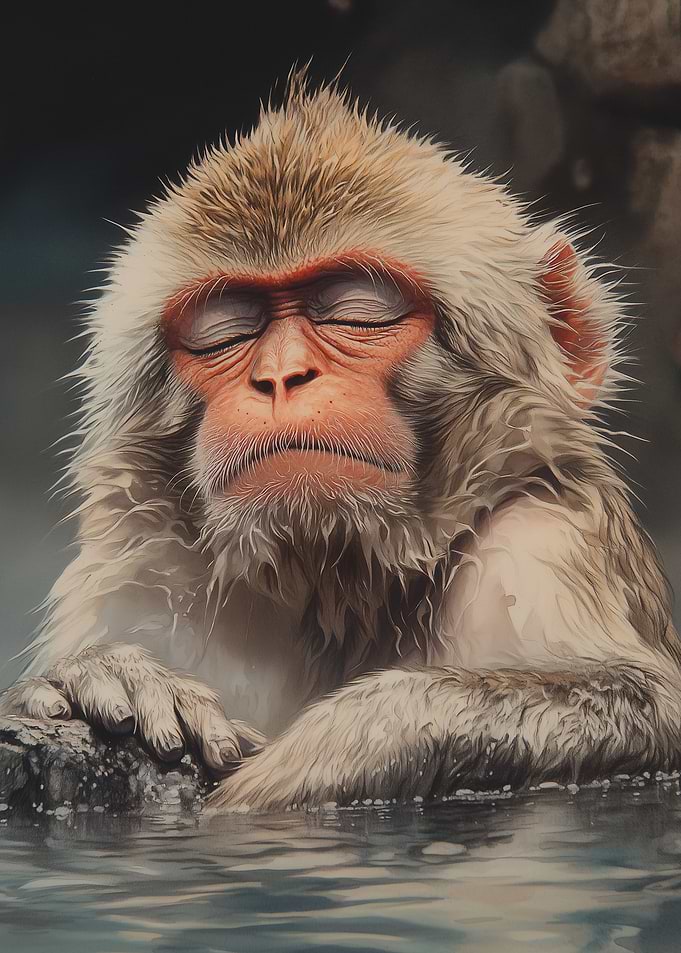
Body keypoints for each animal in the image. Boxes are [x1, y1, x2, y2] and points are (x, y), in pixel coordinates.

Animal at [1, 76, 679, 813]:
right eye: (224, 334)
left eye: (357, 313)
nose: (281, 376)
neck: (341, 591)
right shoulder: (139, 576)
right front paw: (100, 679)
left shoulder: (539, 541)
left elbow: (651, 705)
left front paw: (328, 751)